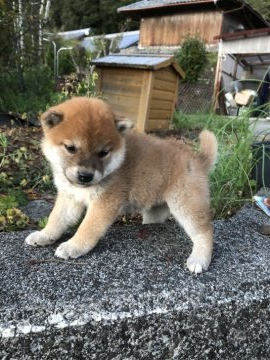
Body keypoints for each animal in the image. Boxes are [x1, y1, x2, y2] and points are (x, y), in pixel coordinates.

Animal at [25, 95, 218, 272]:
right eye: (70, 148)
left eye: (103, 152)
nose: (85, 176)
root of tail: (197, 159)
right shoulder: (69, 198)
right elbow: (56, 219)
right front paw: (43, 235)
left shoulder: (104, 204)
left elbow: (87, 228)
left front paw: (73, 246)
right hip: (155, 210)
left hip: (185, 204)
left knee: (205, 231)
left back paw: (199, 259)